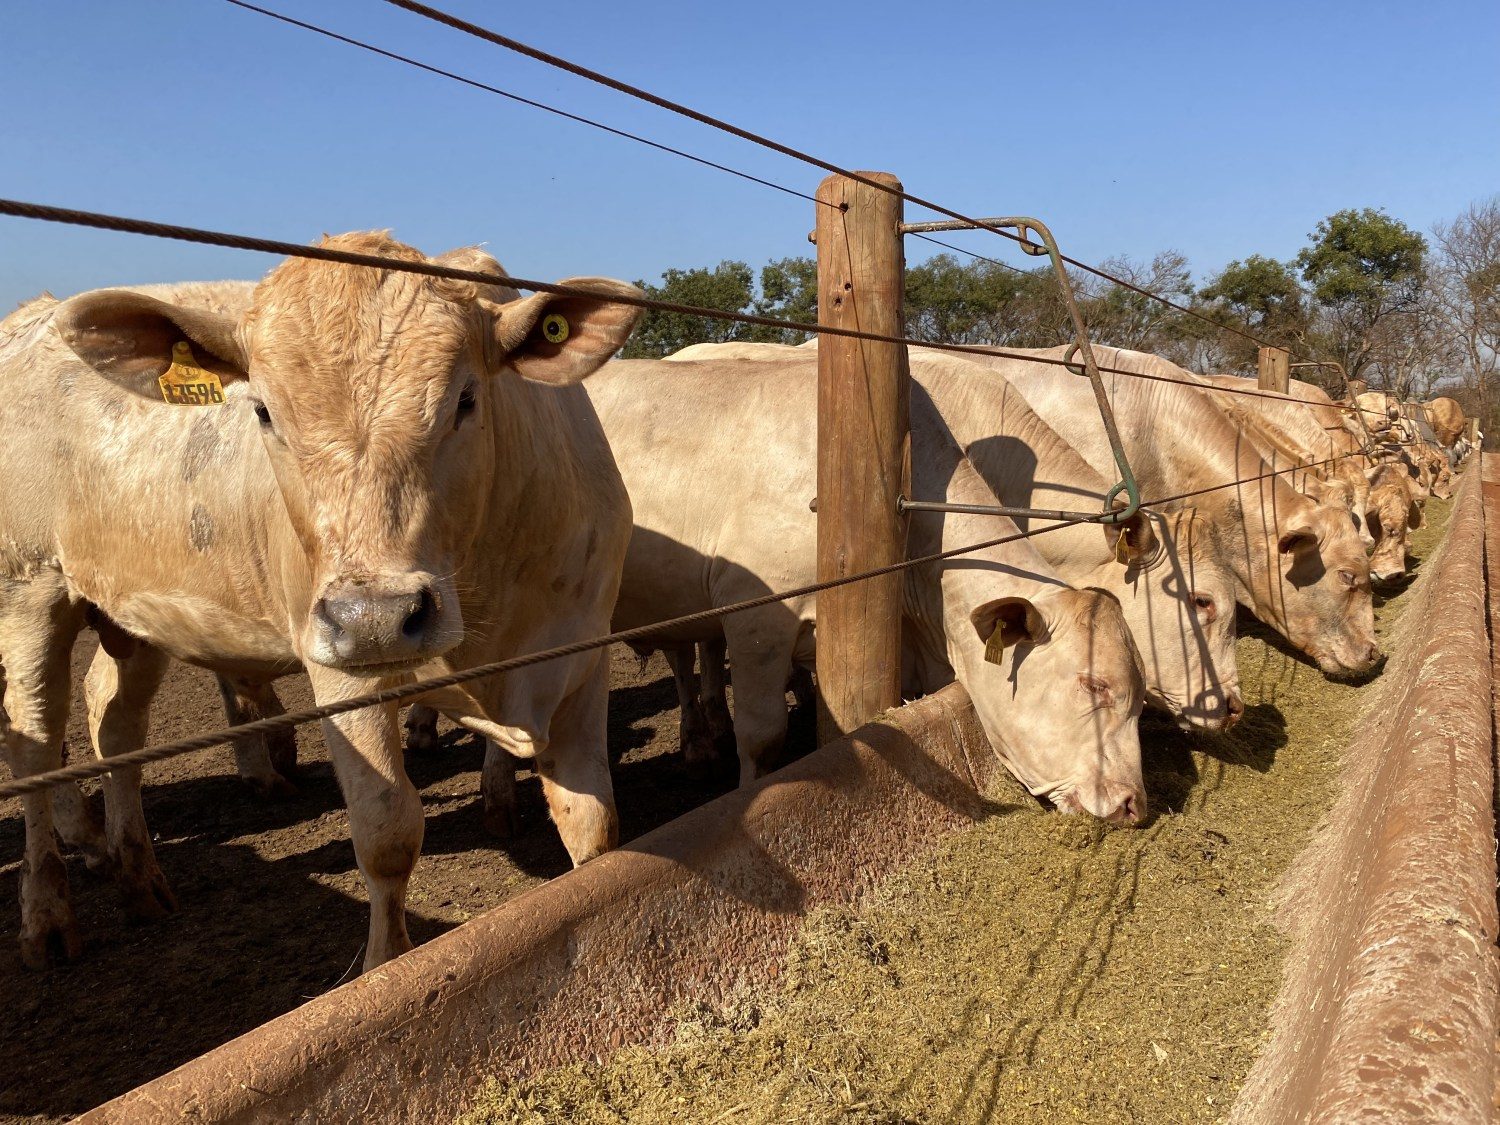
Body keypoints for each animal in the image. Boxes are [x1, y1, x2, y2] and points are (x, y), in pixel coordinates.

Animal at [0, 235, 639, 972]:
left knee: (116, 728)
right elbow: (387, 832)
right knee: (34, 748)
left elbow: (593, 824)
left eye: (467, 398)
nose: (377, 618)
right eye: (263, 411)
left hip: (134, 609)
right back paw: (47, 913)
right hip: (28, 591)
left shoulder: (581, 655)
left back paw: (138, 876)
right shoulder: (338, 668)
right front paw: (385, 963)